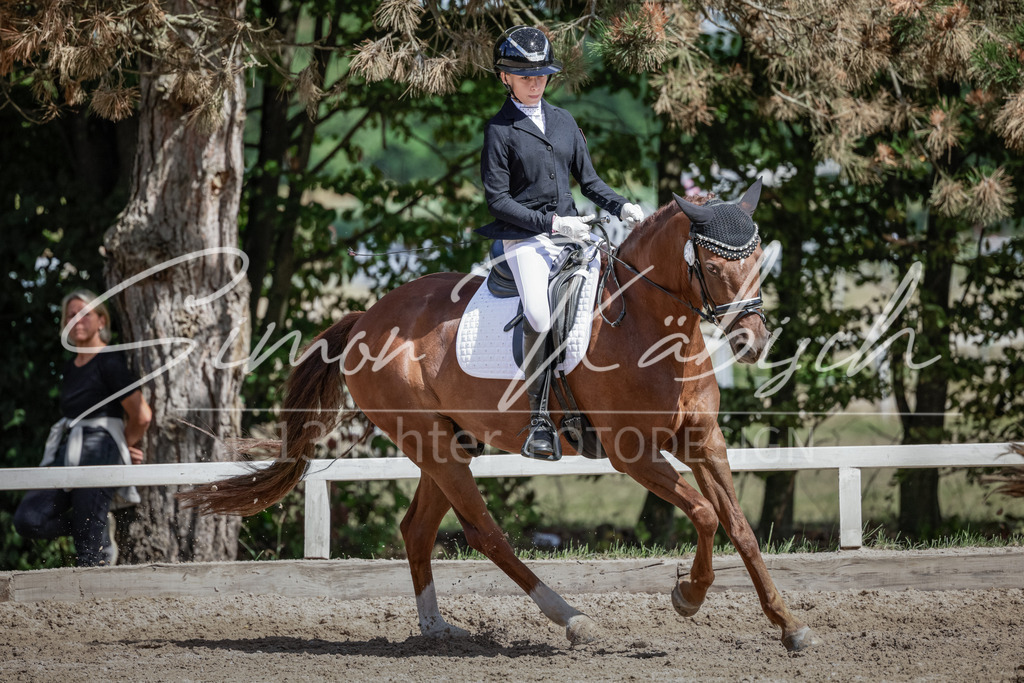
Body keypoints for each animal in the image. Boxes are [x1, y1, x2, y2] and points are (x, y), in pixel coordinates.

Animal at [179, 178, 819, 652]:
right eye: (711, 267)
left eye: (758, 260)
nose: (754, 343)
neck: (652, 329)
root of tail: (367, 318)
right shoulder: (633, 454)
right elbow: (707, 516)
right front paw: (688, 597)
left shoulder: (704, 442)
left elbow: (739, 526)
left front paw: (789, 626)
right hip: (432, 445)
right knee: (485, 533)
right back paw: (574, 620)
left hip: (447, 444)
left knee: (417, 529)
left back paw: (437, 629)